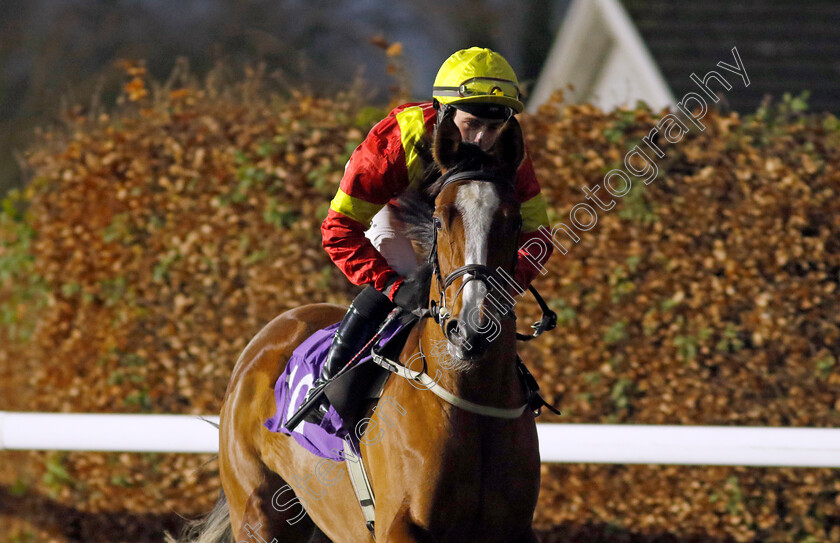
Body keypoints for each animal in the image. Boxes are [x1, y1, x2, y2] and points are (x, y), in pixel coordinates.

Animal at [169, 112, 544, 540]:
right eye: (438, 218)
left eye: (514, 221)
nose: (470, 329)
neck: (469, 397)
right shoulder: (396, 524)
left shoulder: (515, 529)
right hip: (258, 514)